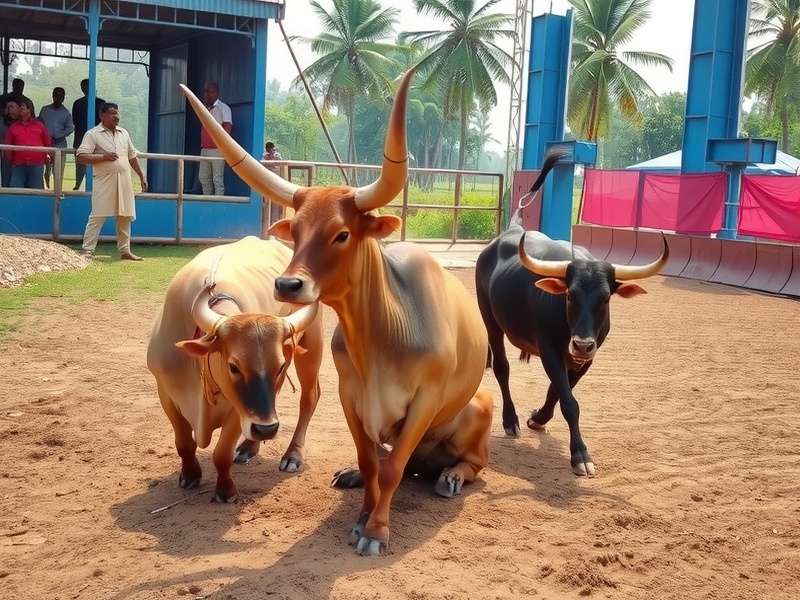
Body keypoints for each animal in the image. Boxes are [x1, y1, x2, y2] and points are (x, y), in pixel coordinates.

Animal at [146, 236, 323, 503]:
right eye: (233, 366)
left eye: (280, 365)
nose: (267, 429)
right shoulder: (165, 394)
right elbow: (184, 443)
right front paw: (190, 475)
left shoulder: (237, 410)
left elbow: (222, 453)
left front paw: (226, 491)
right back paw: (250, 447)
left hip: (313, 345)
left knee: (309, 398)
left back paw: (292, 455)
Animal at [179, 70, 493, 556]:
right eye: (296, 228)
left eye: (342, 233)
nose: (288, 285)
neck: (383, 337)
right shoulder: (351, 396)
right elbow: (372, 461)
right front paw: (363, 514)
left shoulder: (424, 401)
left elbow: (391, 470)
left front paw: (376, 531)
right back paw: (352, 475)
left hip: (480, 405)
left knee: (470, 462)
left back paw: (451, 477)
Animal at [475, 151, 667, 477]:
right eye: (569, 295)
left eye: (605, 298)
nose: (582, 344)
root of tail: (511, 232)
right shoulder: (550, 350)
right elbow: (570, 402)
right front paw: (580, 454)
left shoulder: (585, 359)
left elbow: (558, 391)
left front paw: (539, 417)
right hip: (491, 322)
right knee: (501, 367)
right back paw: (510, 420)